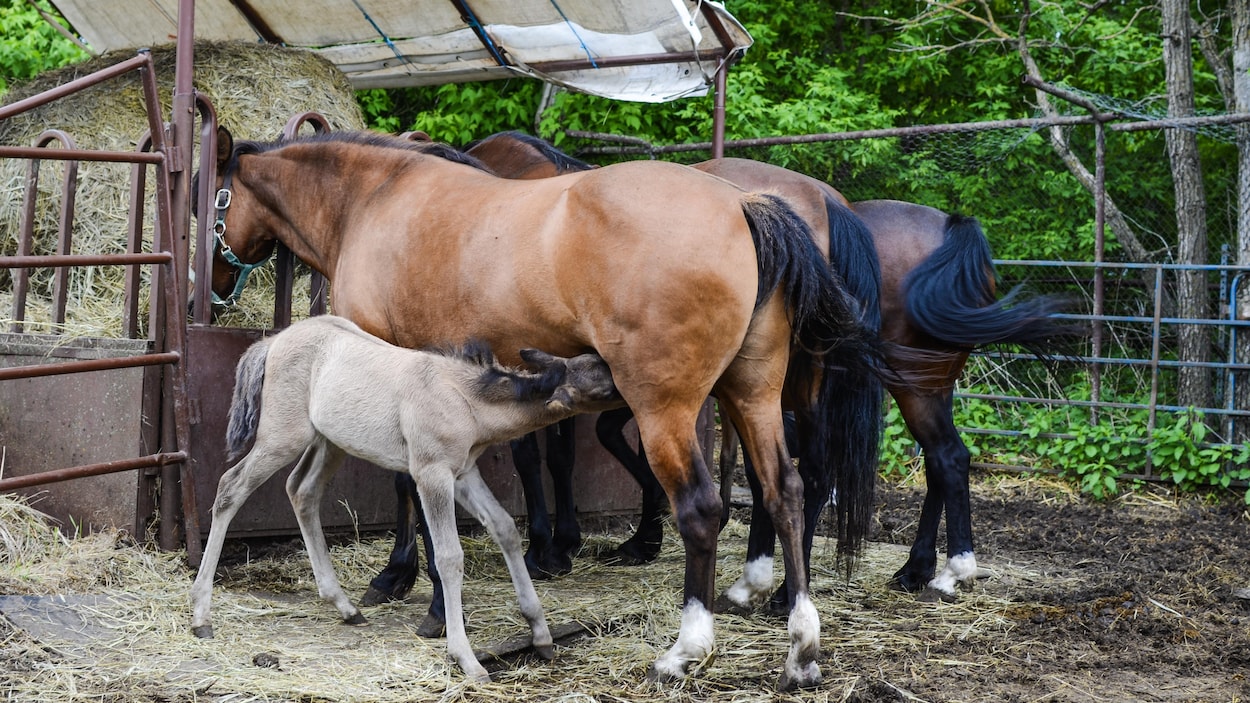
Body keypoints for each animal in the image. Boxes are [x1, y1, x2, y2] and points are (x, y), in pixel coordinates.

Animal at [188, 314, 623, 681]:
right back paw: (201, 615)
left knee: (301, 490)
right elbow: (449, 557)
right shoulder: (431, 473)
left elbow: (504, 529)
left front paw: (542, 634)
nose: (634, 382)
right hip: (283, 436)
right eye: (603, 378)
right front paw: (466, 658)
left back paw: (344, 606)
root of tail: (273, 341)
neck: (467, 400)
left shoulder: (463, 473)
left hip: (330, 440)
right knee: (230, 487)